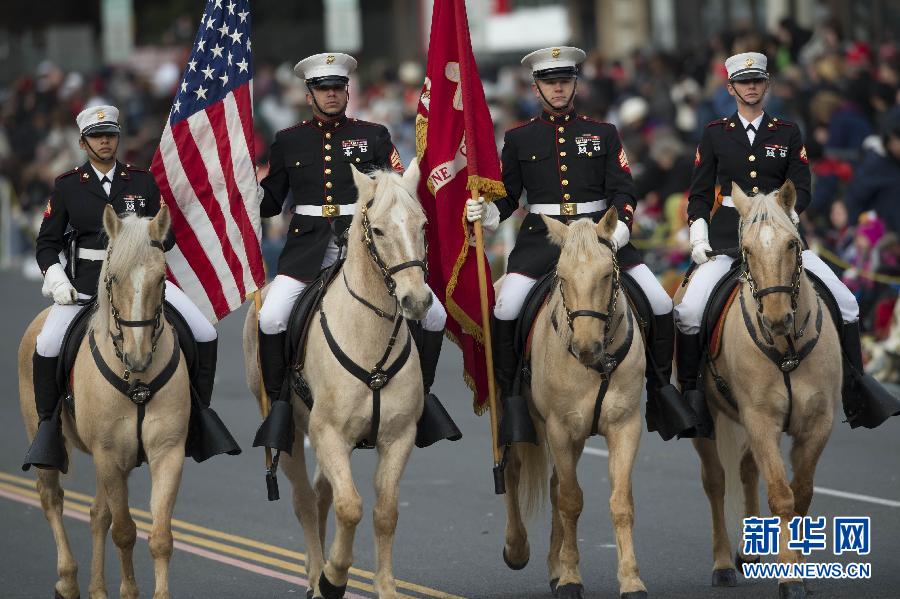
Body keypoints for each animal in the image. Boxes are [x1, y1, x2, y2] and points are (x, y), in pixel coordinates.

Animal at [17, 206, 191, 599]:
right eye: (113, 278)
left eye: (161, 278)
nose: (138, 356)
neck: (137, 381)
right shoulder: (108, 454)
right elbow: (124, 531)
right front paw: (129, 591)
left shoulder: (166, 452)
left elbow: (159, 537)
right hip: (51, 441)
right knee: (52, 498)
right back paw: (68, 580)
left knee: (99, 514)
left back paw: (97, 588)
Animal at [244, 164, 430, 599]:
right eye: (378, 230)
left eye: (423, 225)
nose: (417, 301)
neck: (370, 343)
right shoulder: (328, 433)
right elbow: (351, 506)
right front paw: (333, 577)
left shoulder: (398, 436)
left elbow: (384, 511)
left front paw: (386, 589)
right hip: (291, 433)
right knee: (305, 500)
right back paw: (315, 575)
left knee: (321, 494)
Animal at [500, 210, 648, 599]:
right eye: (562, 277)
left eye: (607, 275)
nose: (585, 348)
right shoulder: (560, 428)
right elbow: (571, 500)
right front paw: (570, 578)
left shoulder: (625, 425)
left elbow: (620, 503)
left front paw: (631, 580)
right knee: (513, 471)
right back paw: (517, 549)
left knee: (552, 486)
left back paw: (553, 565)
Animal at [684, 184, 844, 599]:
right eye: (747, 250)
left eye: (792, 244)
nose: (776, 319)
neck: (786, 348)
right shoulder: (760, 420)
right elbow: (781, 495)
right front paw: (790, 579)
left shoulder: (818, 423)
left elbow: (800, 494)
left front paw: (799, 570)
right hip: (709, 422)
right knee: (716, 481)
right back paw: (724, 564)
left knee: (745, 469)